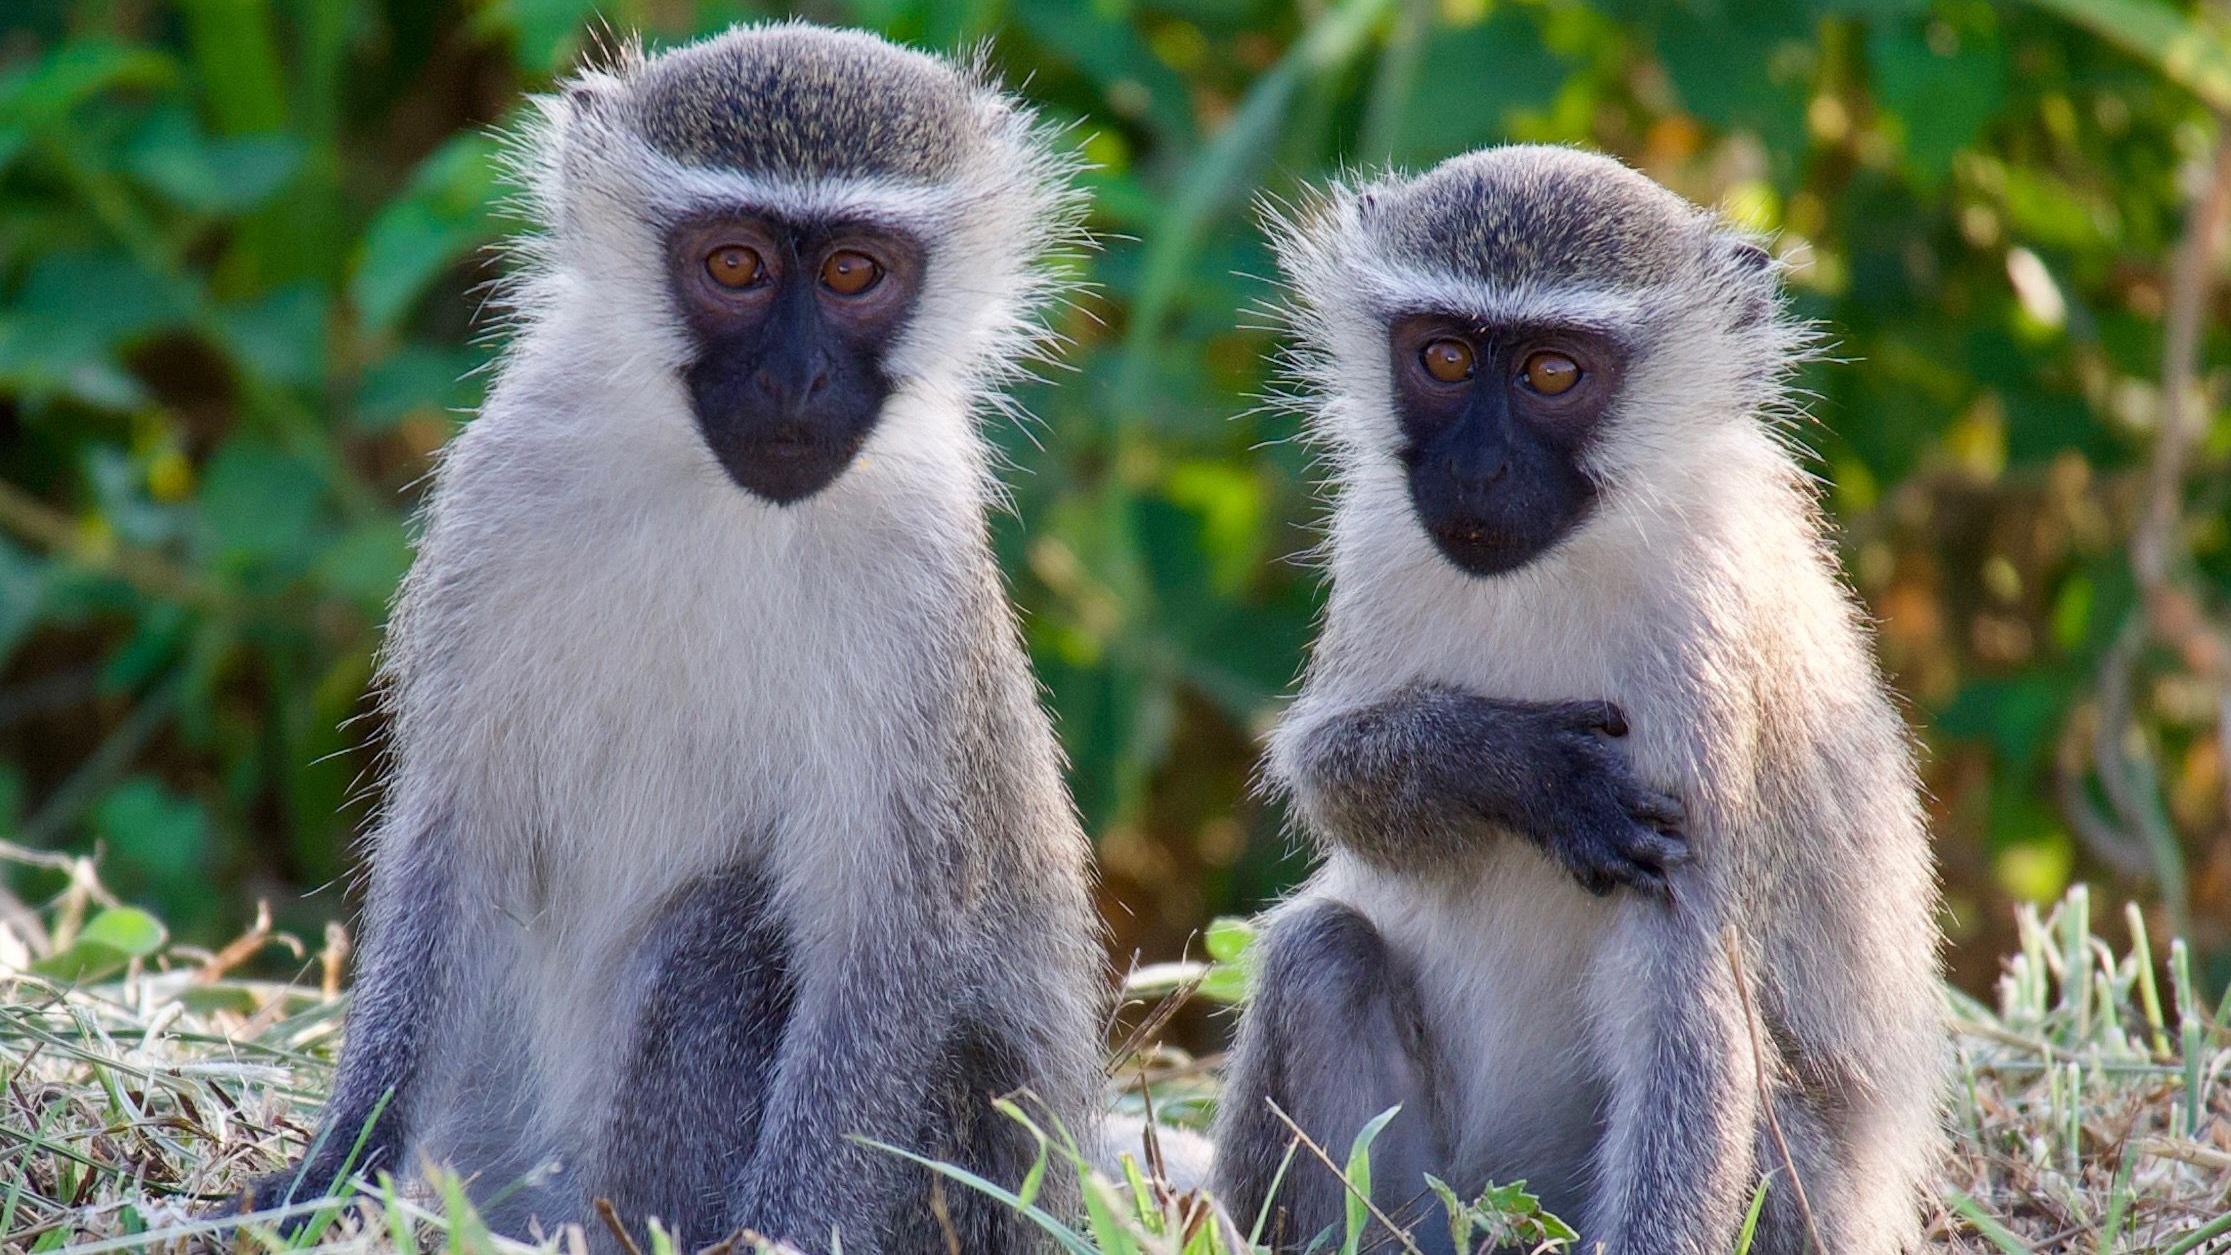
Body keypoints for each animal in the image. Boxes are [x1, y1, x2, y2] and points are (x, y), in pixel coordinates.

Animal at [239, 24, 1105, 1253]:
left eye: (853, 273)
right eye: (734, 265)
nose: (794, 376)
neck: (716, 498)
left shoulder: (922, 585)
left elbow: (885, 934)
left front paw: (780, 1233)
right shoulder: (494, 501)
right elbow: (457, 836)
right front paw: (334, 1169)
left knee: (726, 930)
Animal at [1213, 146, 1946, 1254]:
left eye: (1551, 373)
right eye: (1442, 357)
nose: (1474, 470)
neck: (1558, 563)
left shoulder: (1703, 633)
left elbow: (1682, 979)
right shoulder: (1377, 531)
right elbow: (1327, 771)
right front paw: (1511, 766)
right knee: (1319, 953)